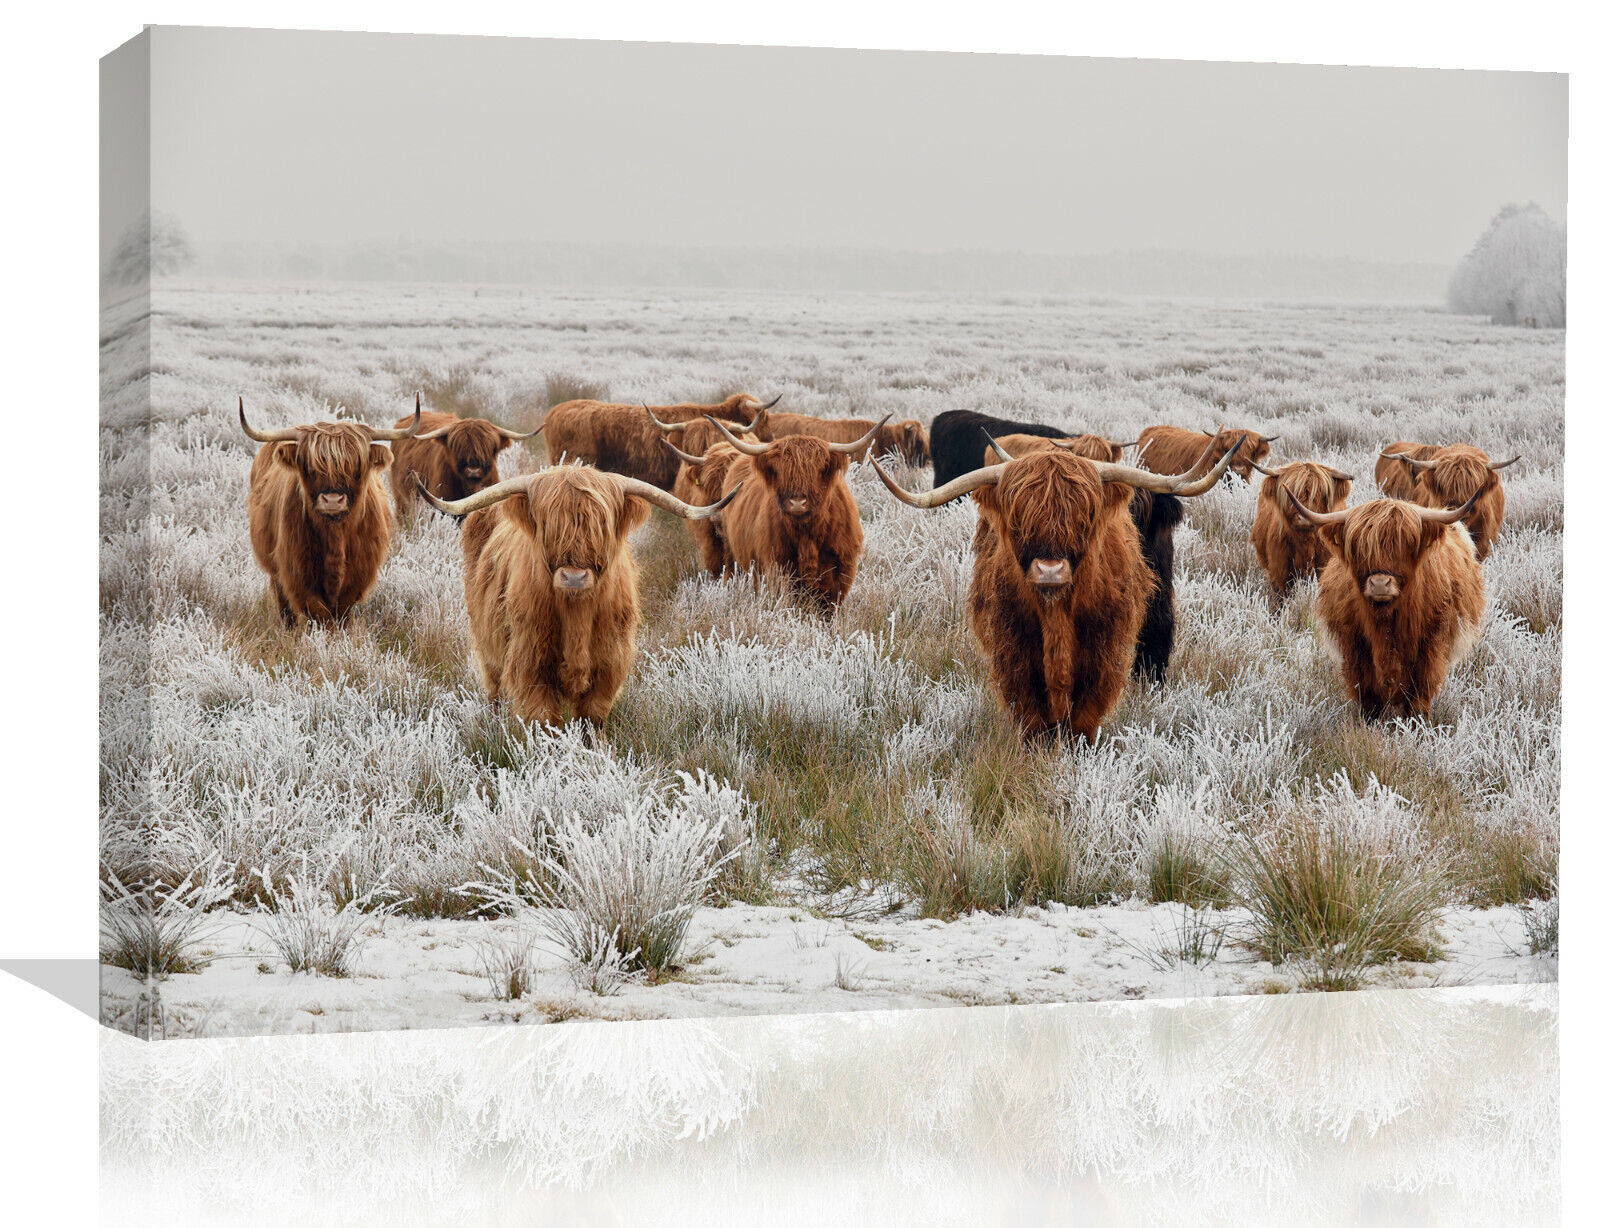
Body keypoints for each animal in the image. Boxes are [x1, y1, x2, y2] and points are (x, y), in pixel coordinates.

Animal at [240, 396, 423, 625]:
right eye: (310, 466)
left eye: (356, 467)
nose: (333, 501)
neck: (336, 535)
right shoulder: (297, 573)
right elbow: (319, 614)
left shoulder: (358, 577)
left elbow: (340, 614)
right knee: (285, 607)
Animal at [418, 465, 739, 727]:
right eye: (548, 524)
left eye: (601, 525)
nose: (574, 577)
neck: (576, 616)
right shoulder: (529, 665)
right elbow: (546, 722)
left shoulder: (609, 666)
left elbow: (592, 719)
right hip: (488, 648)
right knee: (494, 688)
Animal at [705, 416, 888, 612]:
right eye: (780, 470)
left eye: (819, 469)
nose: (797, 503)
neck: (807, 535)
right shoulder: (778, 569)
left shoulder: (839, 574)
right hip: (731, 552)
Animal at [869, 436, 1243, 740]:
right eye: (1018, 519)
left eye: (1085, 517)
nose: (1050, 570)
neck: (1056, 614)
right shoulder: (1014, 652)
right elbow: (1033, 717)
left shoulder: (1104, 653)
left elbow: (1084, 716)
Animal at [1287, 485, 1490, 721]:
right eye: (1359, 547)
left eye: (1407, 544)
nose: (1379, 584)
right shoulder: (1355, 650)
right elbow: (1368, 699)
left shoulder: (1430, 649)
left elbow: (1419, 698)